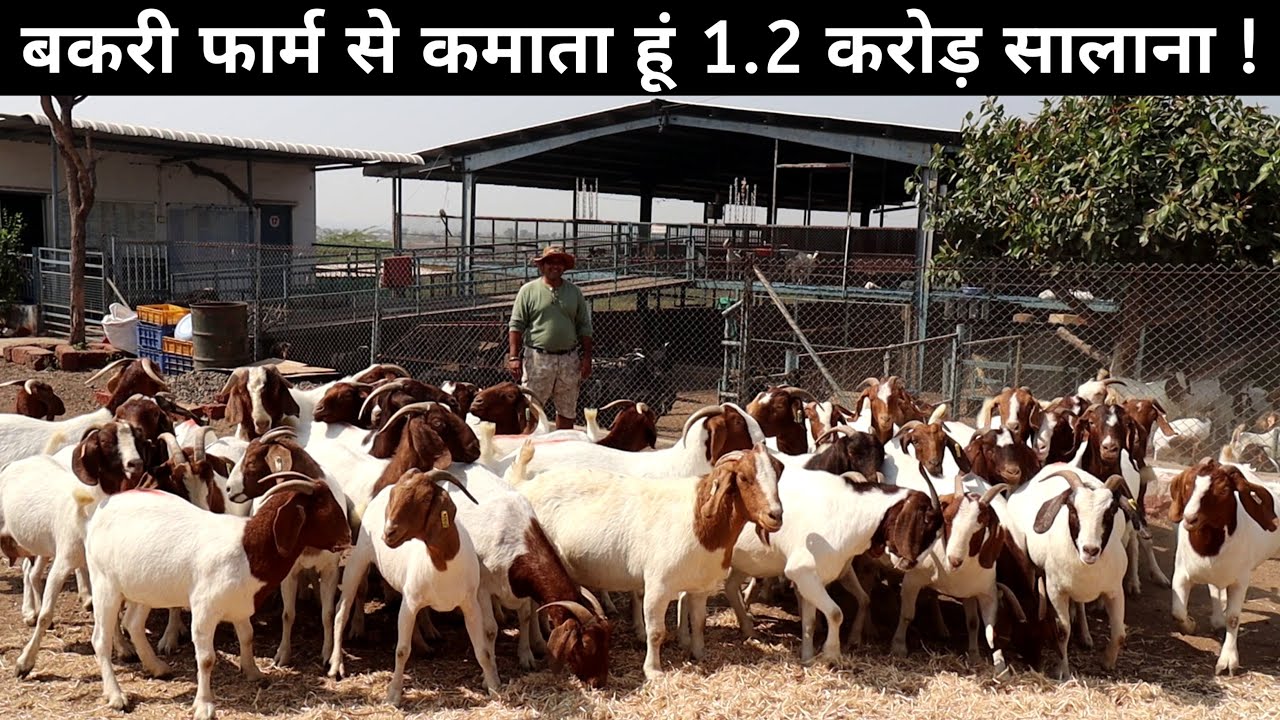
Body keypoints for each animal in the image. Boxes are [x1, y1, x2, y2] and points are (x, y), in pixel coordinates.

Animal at [83, 475, 351, 718]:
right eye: (324, 508)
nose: (348, 537)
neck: (248, 550)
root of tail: (102, 508)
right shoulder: (204, 610)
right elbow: (206, 659)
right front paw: (204, 706)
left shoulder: (240, 606)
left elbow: (247, 637)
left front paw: (254, 672)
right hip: (104, 584)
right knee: (101, 640)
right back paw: (116, 696)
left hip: (145, 589)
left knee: (133, 624)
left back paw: (157, 668)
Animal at [328, 468, 502, 703]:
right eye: (395, 495)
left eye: (427, 498)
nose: (388, 533)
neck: (443, 564)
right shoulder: (409, 604)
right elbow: (401, 650)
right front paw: (393, 695)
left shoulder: (470, 604)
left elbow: (482, 650)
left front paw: (494, 688)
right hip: (359, 557)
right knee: (341, 611)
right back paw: (336, 665)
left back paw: (422, 643)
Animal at [506, 441, 784, 679]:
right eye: (745, 477)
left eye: (778, 473)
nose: (776, 515)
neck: (699, 522)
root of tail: (525, 484)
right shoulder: (658, 586)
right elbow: (656, 631)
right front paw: (653, 671)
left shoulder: (700, 587)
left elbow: (699, 622)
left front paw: (699, 654)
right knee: (531, 606)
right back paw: (536, 645)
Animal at [1168, 457, 1280, 675]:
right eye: (1188, 484)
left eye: (1224, 490)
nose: (1189, 518)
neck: (1210, 547)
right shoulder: (1181, 574)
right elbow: (1177, 611)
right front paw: (1190, 625)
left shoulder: (1240, 580)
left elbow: (1234, 618)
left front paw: (1228, 661)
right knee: (1214, 589)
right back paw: (1217, 619)